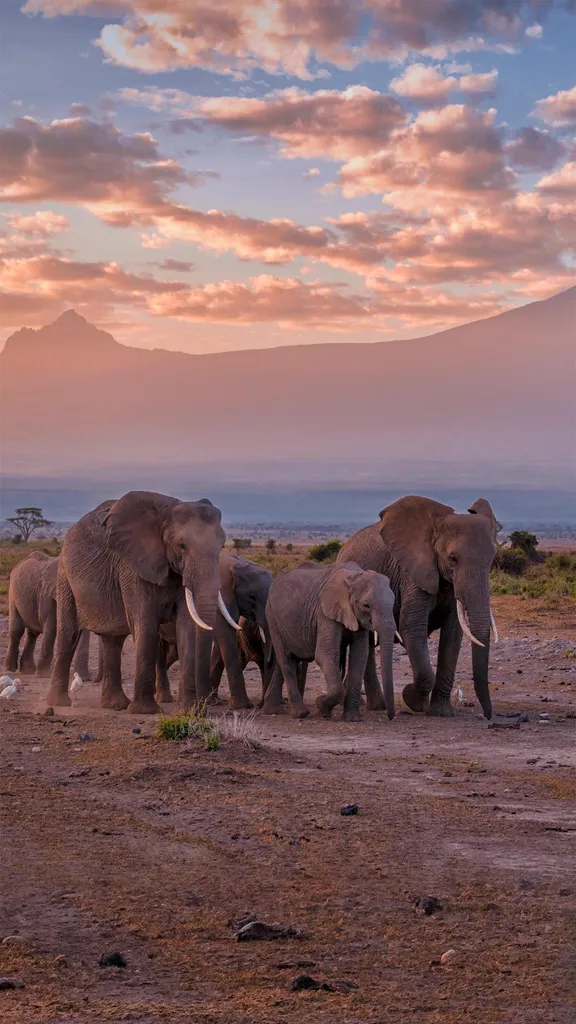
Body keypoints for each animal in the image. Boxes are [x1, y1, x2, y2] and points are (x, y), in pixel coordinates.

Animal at [46, 490, 234, 715]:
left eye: (222, 546)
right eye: (181, 545)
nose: (201, 708)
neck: (166, 512)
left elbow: (187, 627)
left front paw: (189, 711)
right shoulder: (133, 567)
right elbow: (146, 624)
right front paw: (146, 711)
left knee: (113, 640)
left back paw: (115, 705)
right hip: (64, 575)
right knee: (69, 634)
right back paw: (59, 703)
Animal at [263, 561, 396, 721]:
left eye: (394, 603)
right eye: (366, 605)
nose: (390, 716)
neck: (353, 576)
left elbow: (359, 657)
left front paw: (352, 719)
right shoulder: (324, 613)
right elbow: (324, 654)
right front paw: (321, 706)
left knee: (283, 661)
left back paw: (273, 710)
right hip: (272, 617)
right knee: (286, 660)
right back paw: (300, 714)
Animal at [338, 495, 499, 719]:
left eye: (492, 559)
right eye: (453, 558)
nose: (488, 715)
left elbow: (453, 634)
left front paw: (441, 712)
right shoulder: (412, 573)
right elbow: (412, 627)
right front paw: (412, 699)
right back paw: (377, 705)